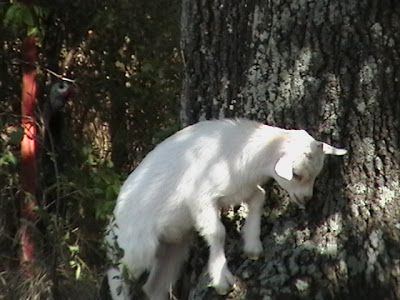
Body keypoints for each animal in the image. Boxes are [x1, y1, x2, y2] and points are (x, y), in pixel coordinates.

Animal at [105, 119, 346, 300]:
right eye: (296, 174)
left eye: (316, 173)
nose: (306, 198)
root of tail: (112, 224)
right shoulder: (200, 198)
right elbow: (217, 233)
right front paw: (222, 280)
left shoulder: (238, 190)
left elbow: (259, 196)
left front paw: (253, 245)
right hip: (137, 248)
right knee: (117, 273)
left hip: (172, 248)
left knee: (153, 287)